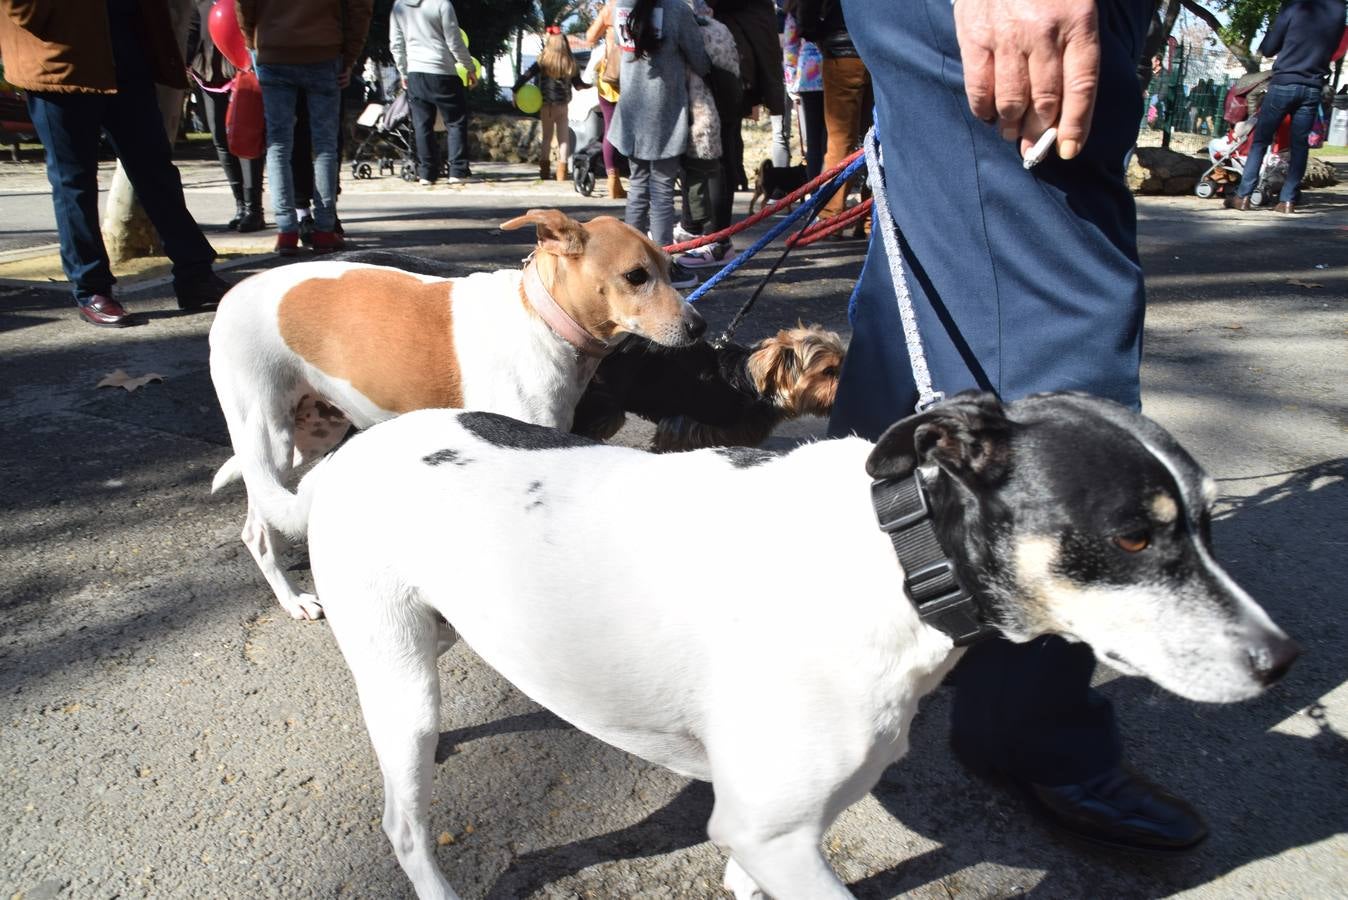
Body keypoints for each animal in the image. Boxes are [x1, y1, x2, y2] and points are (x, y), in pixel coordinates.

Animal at [210, 210, 706, 619]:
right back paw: (293, 600)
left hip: (314, 429)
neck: (543, 321)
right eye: (636, 276)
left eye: (669, 269)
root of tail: (233, 294)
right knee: (258, 529)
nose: (699, 326)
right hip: (269, 435)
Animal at [297, 393, 1294, 900]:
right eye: (1132, 536)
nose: (1282, 660)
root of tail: (354, 444)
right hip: (402, 685)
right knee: (403, 823)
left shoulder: (777, 833)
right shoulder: (770, 830)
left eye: (1208, 519)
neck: (892, 562)